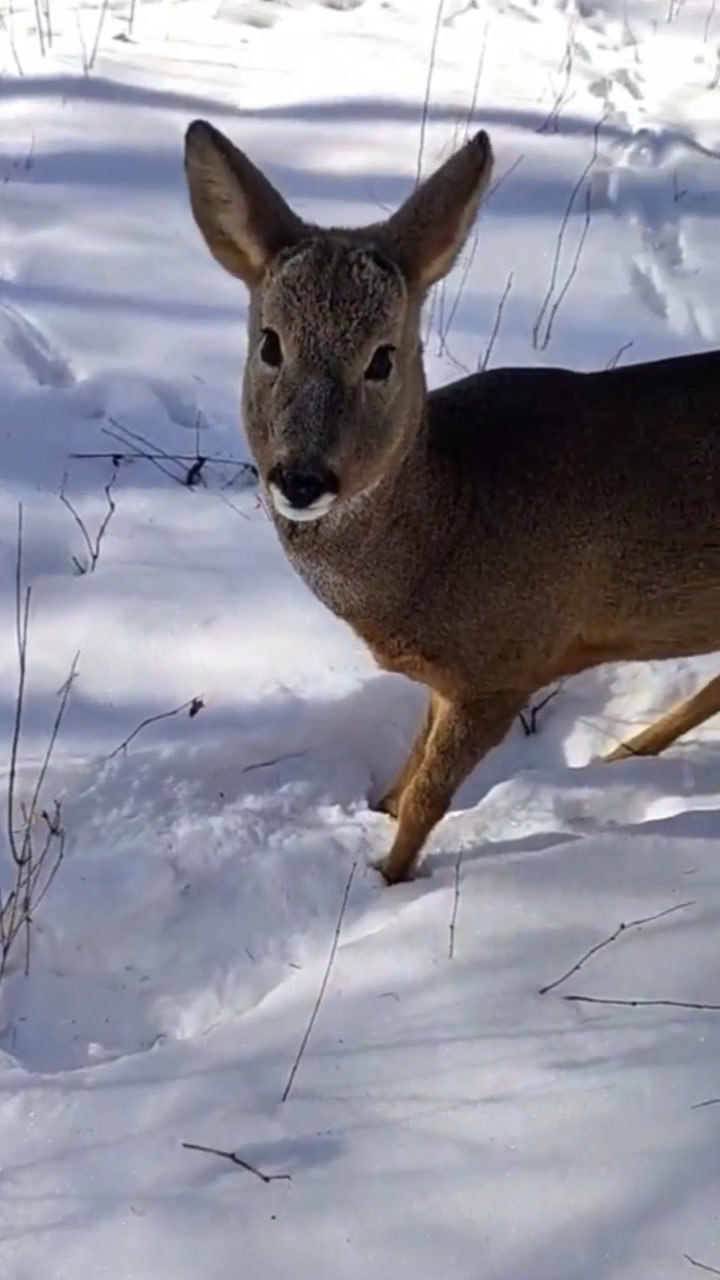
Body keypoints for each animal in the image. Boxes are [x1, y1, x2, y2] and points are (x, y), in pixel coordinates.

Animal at [180, 115, 720, 885]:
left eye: (383, 357)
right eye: (270, 344)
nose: (302, 479)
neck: (449, 523)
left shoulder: (504, 666)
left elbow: (428, 798)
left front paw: (386, 879)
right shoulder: (448, 677)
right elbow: (408, 767)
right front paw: (371, 813)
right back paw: (624, 754)